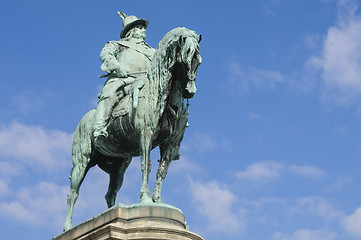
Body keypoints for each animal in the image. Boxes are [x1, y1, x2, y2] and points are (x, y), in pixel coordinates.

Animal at [63, 27, 201, 232]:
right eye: (186, 57)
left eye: (198, 60)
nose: (190, 91)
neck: (160, 94)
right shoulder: (146, 136)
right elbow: (146, 166)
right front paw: (145, 198)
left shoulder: (170, 146)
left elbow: (161, 172)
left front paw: (157, 200)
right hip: (81, 162)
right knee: (73, 193)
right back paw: (67, 227)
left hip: (118, 167)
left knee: (110, 193)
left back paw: (110, 213)